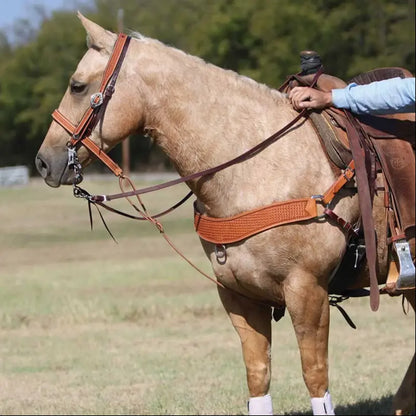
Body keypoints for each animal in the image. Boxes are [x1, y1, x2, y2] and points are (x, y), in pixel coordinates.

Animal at [36, 13, 416, 412]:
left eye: (77, 86)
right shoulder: (238, 295)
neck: (258, 170)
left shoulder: (307, 290)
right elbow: (257, 377)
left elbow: (315, 378)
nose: (43, 162)